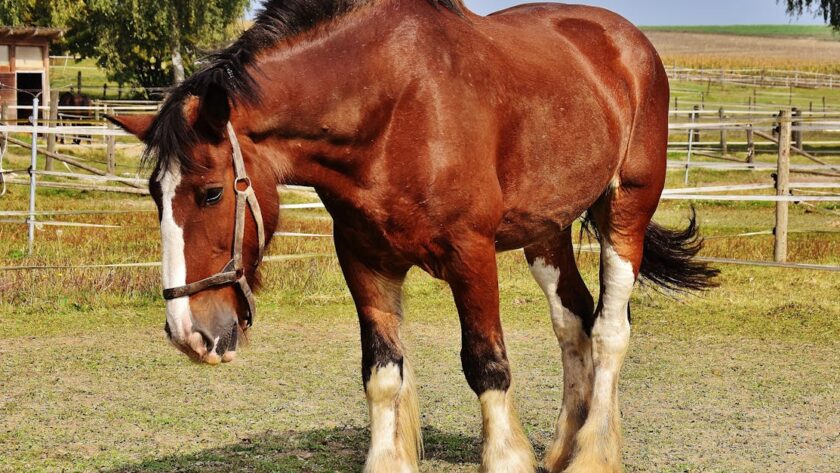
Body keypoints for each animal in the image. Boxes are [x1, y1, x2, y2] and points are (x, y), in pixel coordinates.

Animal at [109, 1, 718, 472]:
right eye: (155, 194)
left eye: (211, 193)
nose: (188, 334)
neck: (392, 107)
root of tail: (627, 43)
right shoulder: (364, 260)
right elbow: (382, 373)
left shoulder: (471, 255)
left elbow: (487, 365)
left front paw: (506, 457)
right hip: (546, 232)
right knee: (573, 321)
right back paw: (562, 449)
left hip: (625, 209)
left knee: (610, 330)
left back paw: (591, 454)